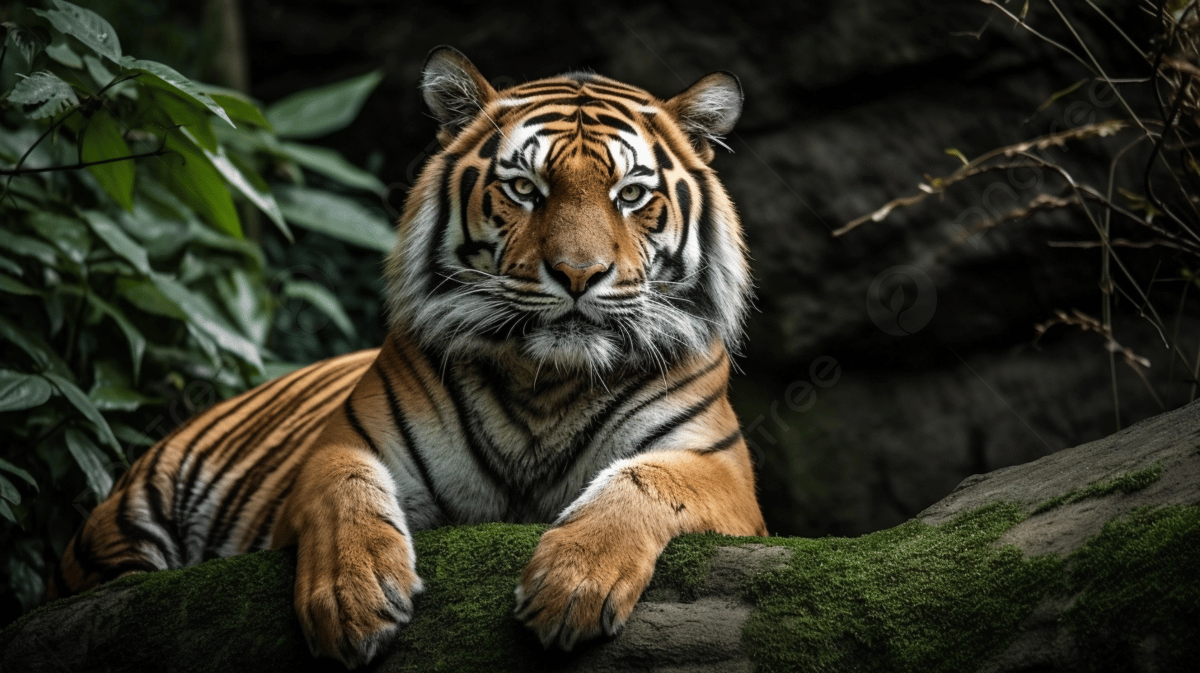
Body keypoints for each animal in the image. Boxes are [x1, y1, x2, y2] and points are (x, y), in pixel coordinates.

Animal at [50, 46, 767, 668]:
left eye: (631, 195)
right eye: (524, 188)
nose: (577, 273)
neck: (546, 381)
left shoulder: (722, 472)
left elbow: (648, 480)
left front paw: (574, 582)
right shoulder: (341, 445)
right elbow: (344, 492)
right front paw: (353, 596)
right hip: (128, 517)